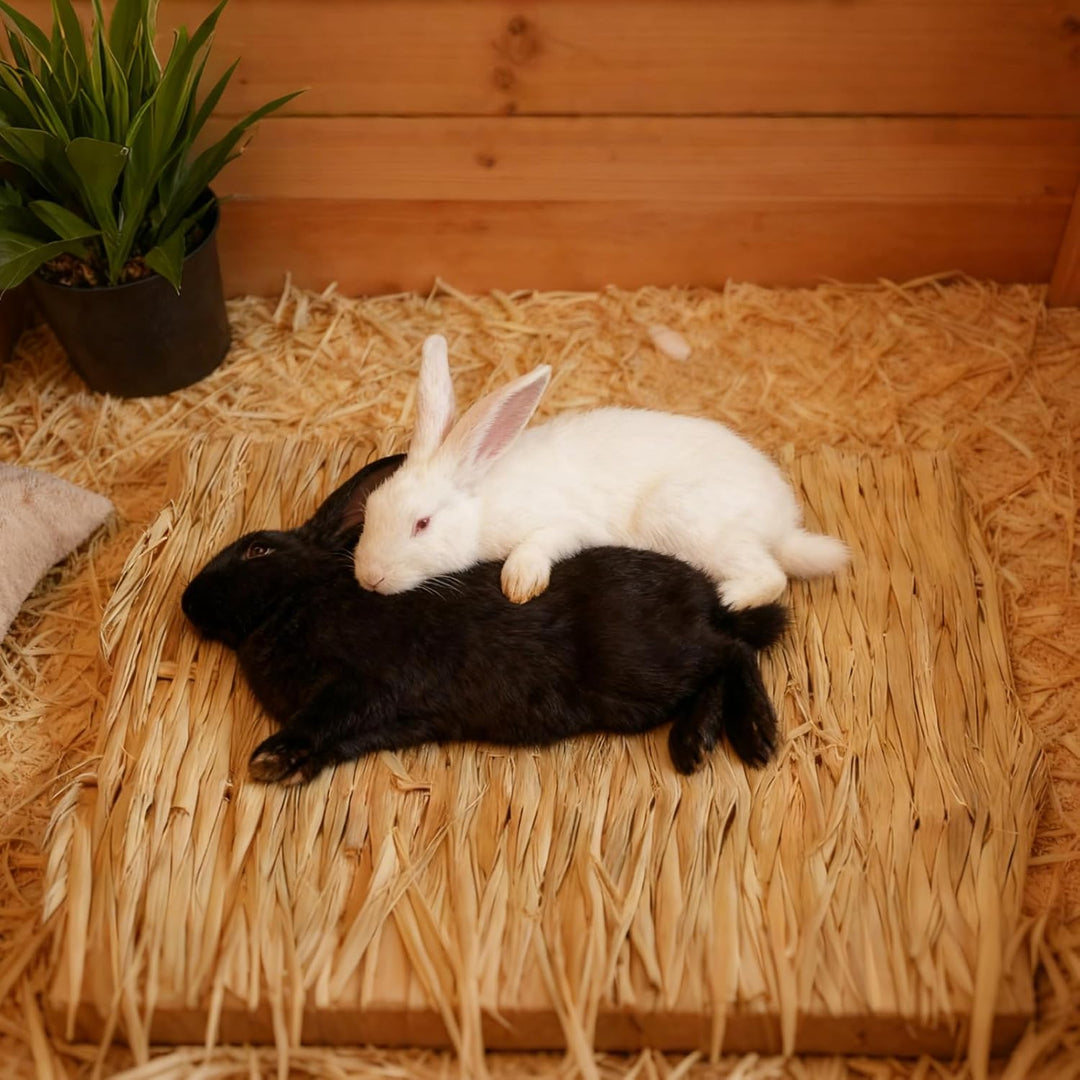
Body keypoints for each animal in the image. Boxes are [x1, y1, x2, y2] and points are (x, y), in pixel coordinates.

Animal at [181, 453, 788, 786]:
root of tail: (705, 596)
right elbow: (336, 742)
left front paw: (268, 757)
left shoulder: (358, 686)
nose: (187, 600)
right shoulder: (380, 718)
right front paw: (291, 767)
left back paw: (754, 736)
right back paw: (694, 743)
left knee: (733, 652)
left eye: (257, 550)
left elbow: (321, 720)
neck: (298, 597)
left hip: (639, 661)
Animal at [353, 335, 849, 610]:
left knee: (772, 576)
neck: (480, 498)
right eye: (370, 510)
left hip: (688, 522)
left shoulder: (565, 524)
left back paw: (728, 598)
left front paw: (520, 582)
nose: (368, 579)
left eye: (422, 524)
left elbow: (539, 545)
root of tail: (783, 526)